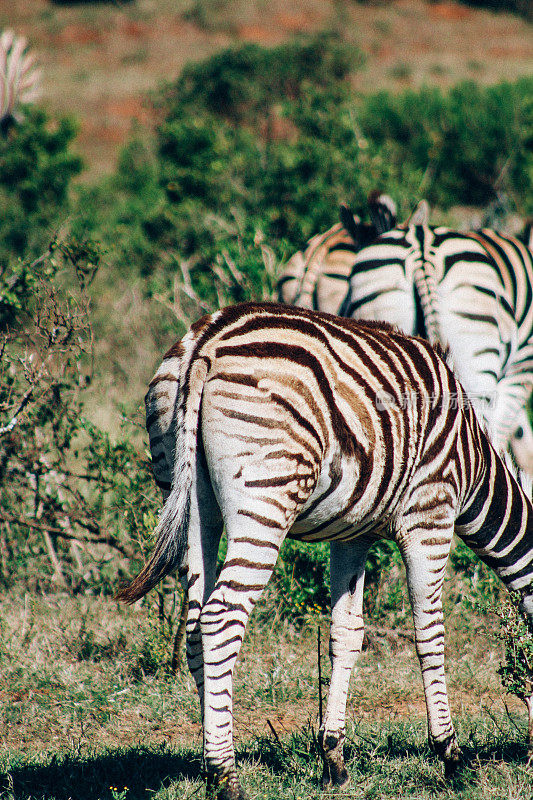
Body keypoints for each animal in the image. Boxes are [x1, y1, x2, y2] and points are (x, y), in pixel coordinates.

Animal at [117, 302, 532, 800]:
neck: (475, 467)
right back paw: (226, 776)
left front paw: (333, 757)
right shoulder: (429, 512)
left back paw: (210, 756)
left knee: (196, 625)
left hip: (190, 503)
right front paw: (450, 754)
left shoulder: (352, 535)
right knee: (219, 620)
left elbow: (346, 634)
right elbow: (429, 634)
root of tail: (206, 341)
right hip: (265, 495)